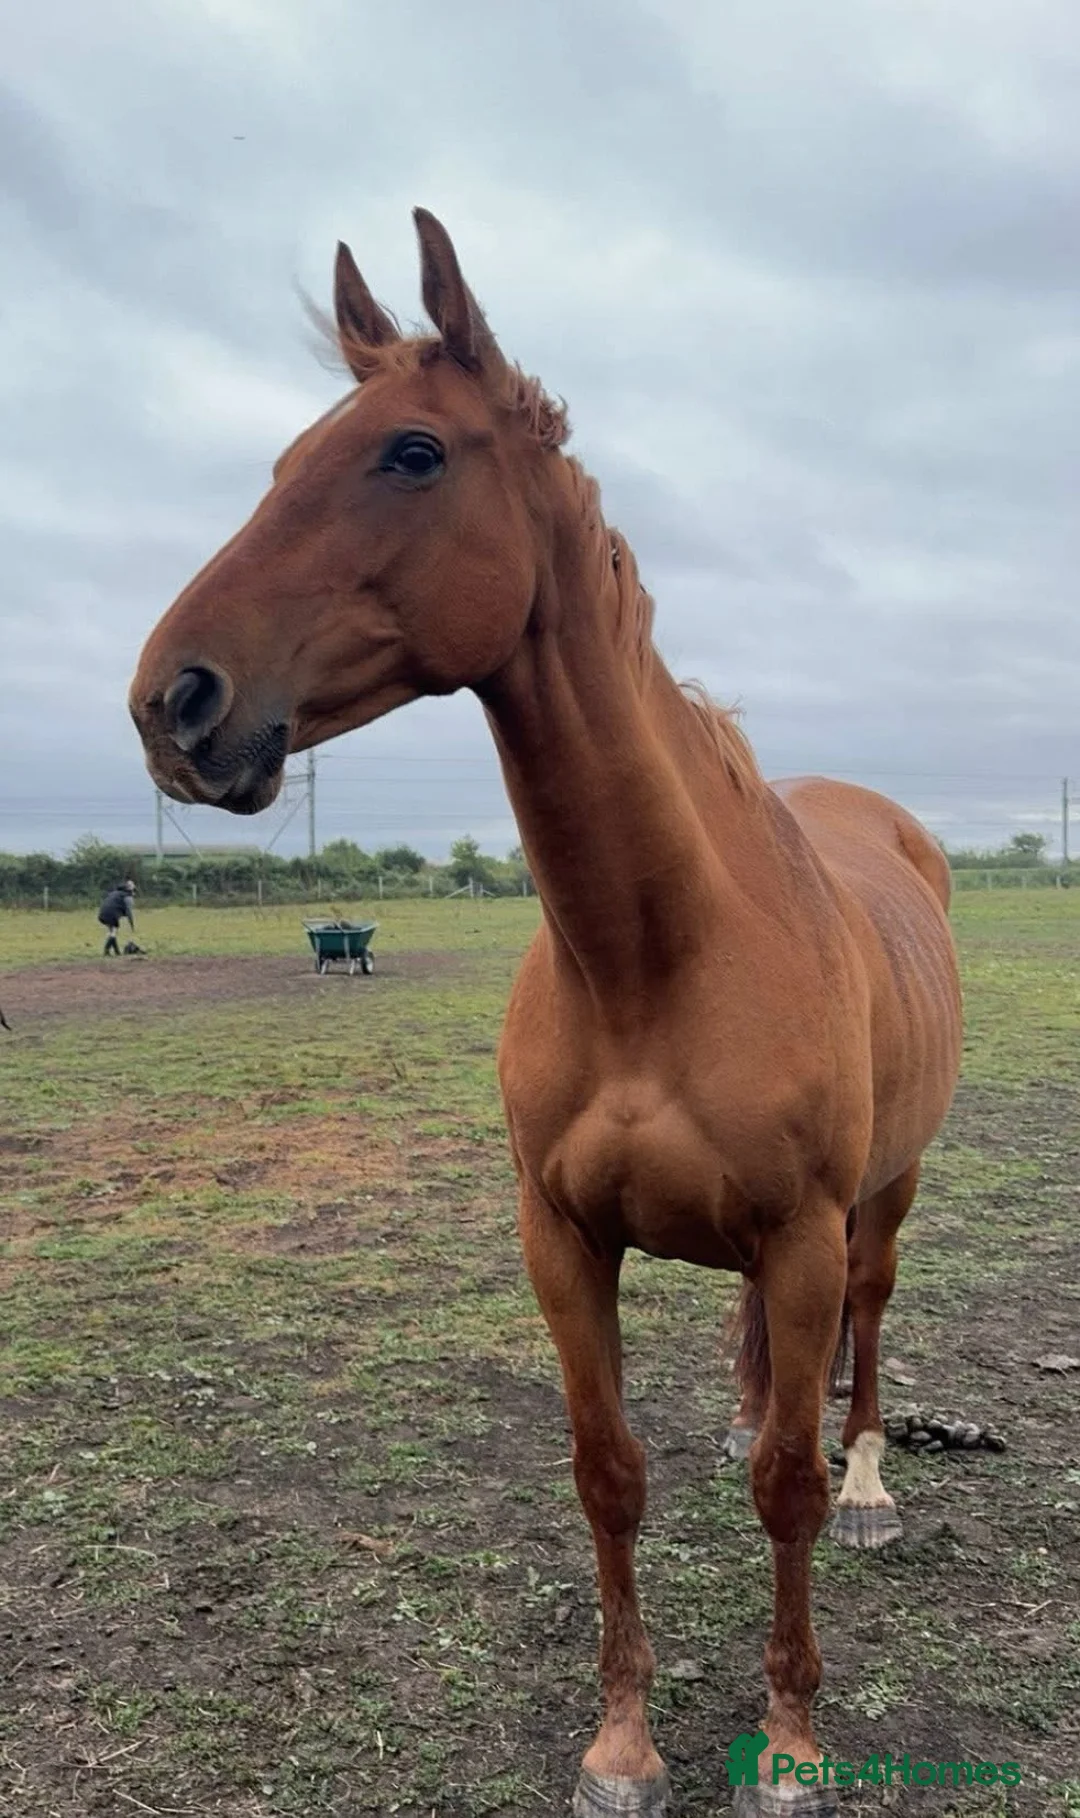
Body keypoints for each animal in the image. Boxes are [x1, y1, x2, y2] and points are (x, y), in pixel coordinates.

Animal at [129, 210, 963, 1817]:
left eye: (411, 453)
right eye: (281, 460)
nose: (171, 701)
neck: (656, 957)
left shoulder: (807, 1232)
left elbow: (783, 1488)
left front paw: (790, 1740)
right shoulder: (561, 1236)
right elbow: (608, 1474)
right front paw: (623, 1745)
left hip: (881, 1199)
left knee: (866, 1337)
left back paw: (876, 1484)